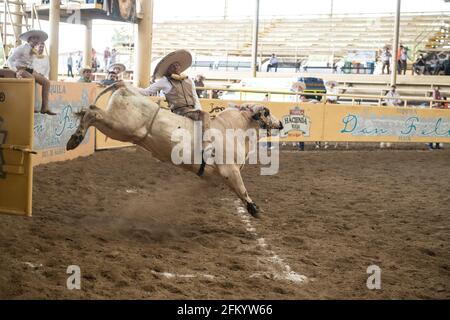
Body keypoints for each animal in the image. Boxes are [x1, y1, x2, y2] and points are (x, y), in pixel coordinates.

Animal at [66, 82, 282, 218]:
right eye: (267, 112)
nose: (280, 123)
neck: (232, 128)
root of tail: (124, 88)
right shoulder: (230, 170)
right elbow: (242, 189)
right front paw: (254, 208)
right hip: (121, 126)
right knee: (92, 112)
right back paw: (74, 139)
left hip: (119, 130)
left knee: (92, 112)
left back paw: (74, 138)